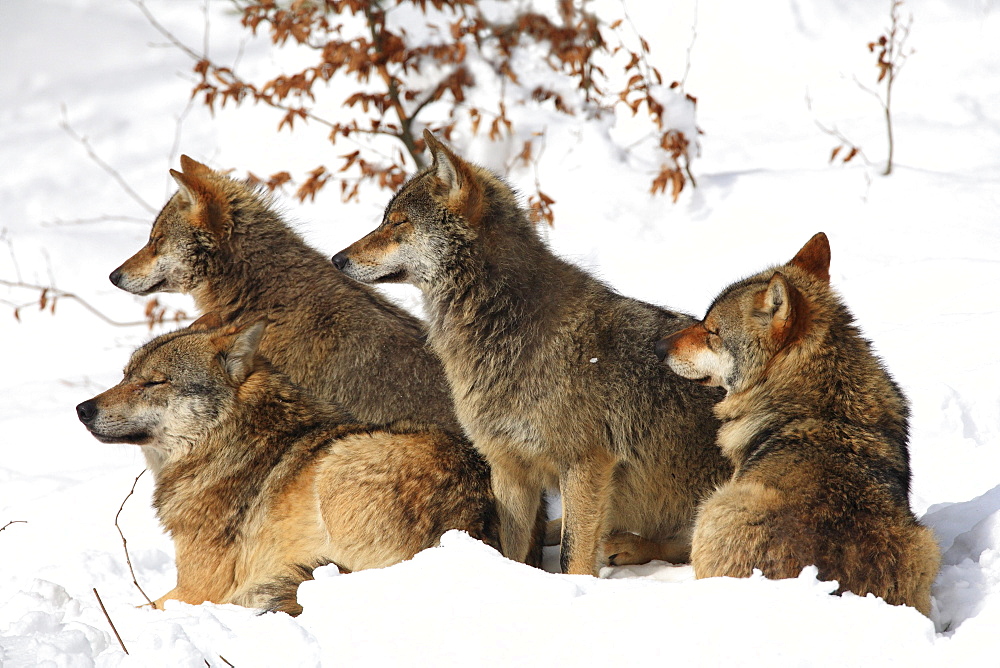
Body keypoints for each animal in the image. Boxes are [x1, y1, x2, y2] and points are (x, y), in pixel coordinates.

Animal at [75, 318, 500, 616]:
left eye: (154, 383)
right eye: (125, 376)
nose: (82, 409)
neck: (230, 441)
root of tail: (465, 518)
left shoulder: (197, 591)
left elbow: (133, 610)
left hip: (338, 464)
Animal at [332, 130, 732, 576]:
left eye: (398, 222)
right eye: (386, 219)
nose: (337, 259)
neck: (503, 325)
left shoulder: (585, 464)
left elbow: (574, 554)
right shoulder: (507, 467)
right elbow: (513, 550)